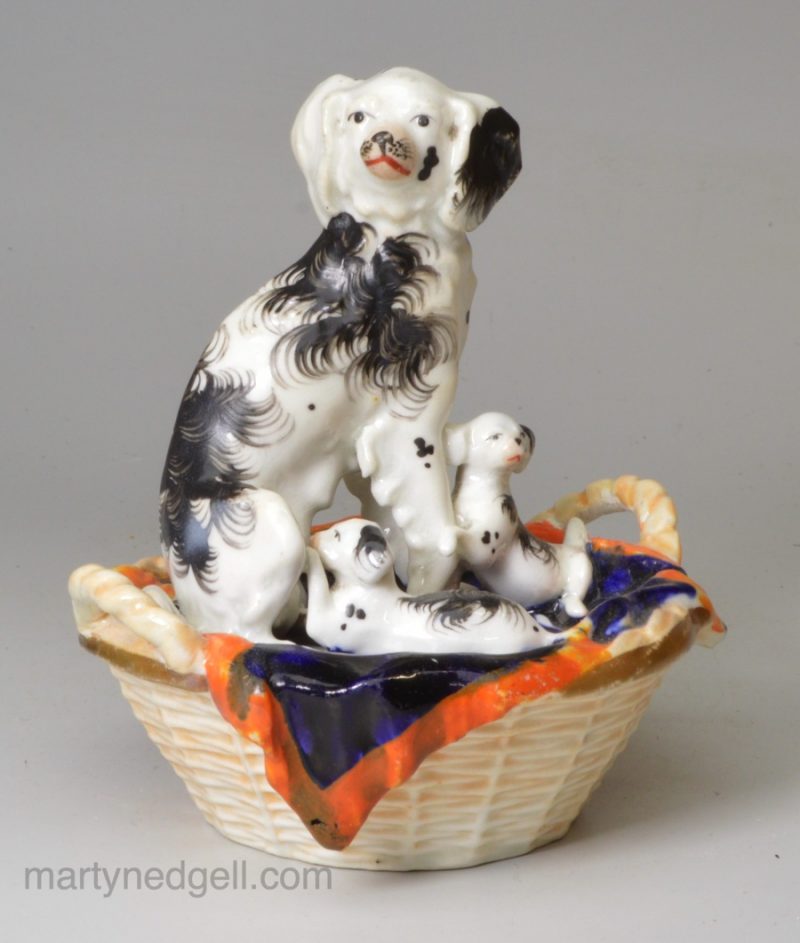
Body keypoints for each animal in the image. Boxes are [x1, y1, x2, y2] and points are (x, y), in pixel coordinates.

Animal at [450, 412, 592, 620]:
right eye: (495, 436)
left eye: (519, 436)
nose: (518, 440)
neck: (478, 492)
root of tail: (571, 546)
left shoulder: (496, 527)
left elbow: (477, 551)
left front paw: (446, 532)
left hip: (580, 564)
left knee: (573, 591)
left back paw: (574, 607)